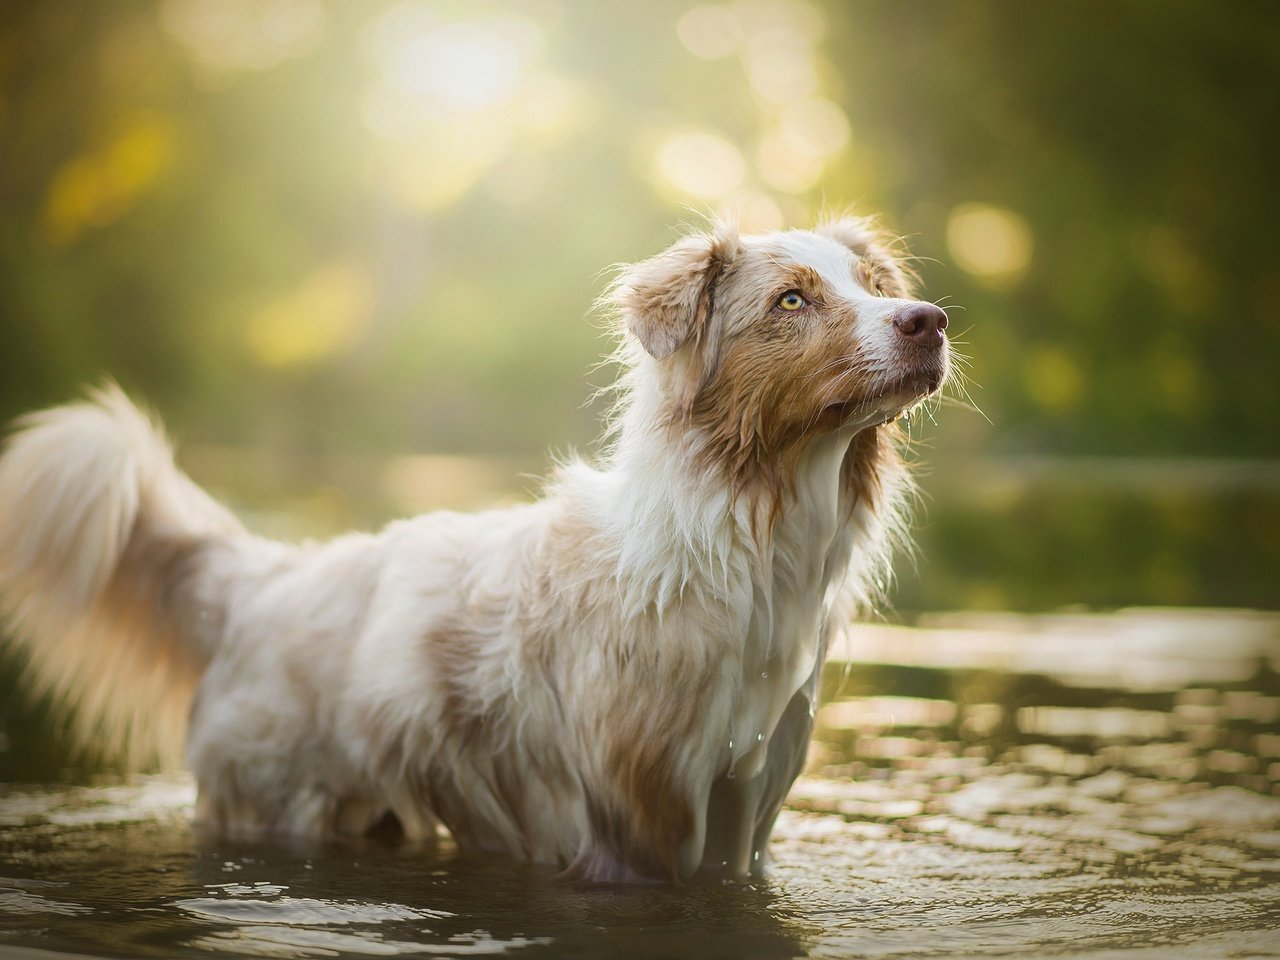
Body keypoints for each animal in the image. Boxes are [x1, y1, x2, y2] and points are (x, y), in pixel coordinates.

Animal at [0, 213, 947, 885]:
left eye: (873, 284)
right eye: (792, 300)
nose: (930, 320)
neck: (743, 542)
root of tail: (261, 576)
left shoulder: (743, 817)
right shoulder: (641, 829)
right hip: (268, 803)